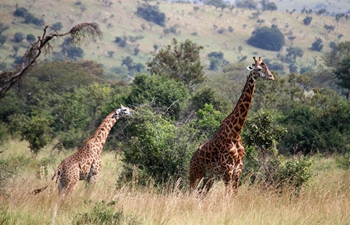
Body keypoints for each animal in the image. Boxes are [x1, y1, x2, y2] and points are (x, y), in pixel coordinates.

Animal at [190, 56, 274, 195]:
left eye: (267, 67)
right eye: (258, 68)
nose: (271, 76)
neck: (236, 132)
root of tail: (192, 157)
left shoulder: (238, 169)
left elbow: (234, 194)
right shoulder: (227, 168)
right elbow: (227, 194)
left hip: (210, 176)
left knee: (201, 194)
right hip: (195, 173)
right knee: (190, 192)